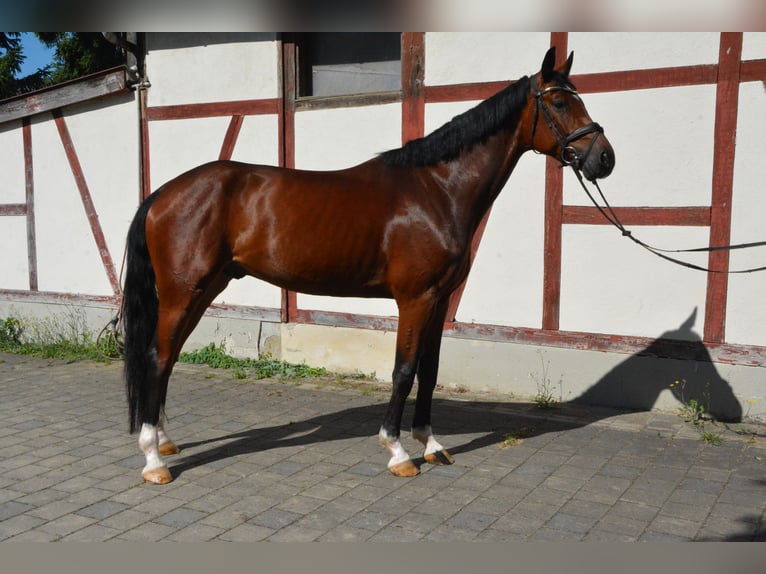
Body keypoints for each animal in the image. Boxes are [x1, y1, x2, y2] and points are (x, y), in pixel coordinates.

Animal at [122, 47, 615, 484]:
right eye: (559, 101)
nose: (604, 158)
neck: (436, 189)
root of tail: (162, 194)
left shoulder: (440, 301)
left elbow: (429, 372)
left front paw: (431, 444)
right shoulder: (415, 299)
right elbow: (403, 371)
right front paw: (397, 452)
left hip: (203, 290)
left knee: (166, 357)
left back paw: (164, 441)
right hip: (183, 292)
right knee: (156, 358)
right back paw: (153, 461)